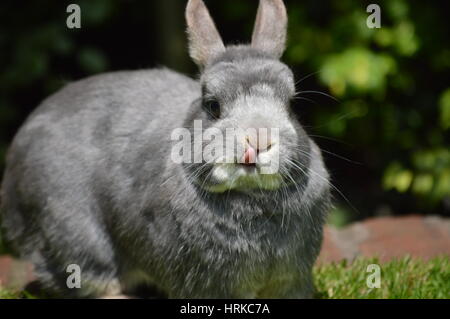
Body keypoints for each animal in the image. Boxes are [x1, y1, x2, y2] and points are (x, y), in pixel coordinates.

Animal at [0, 0, 330, 300]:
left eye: (291, 104)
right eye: (213, 105)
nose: (258, 140)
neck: (251, 196)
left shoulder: (289, 281)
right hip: (73, 234)